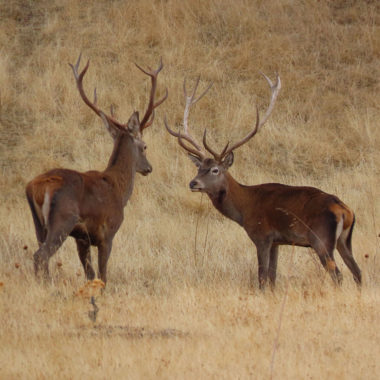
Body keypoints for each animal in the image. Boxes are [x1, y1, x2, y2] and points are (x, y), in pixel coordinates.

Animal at [26, 55, 168, 284]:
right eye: (145, 146)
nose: (149, 168)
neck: (119, 189)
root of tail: (36, 187)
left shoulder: (82, 238)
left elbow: (90, 274)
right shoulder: (107, 233)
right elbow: (103, 274)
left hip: (39, 225)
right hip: (63, 219)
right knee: (41, 255)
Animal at [165, 74, 360, 288]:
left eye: (215, 170)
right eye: (198, 168)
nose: (193, 183)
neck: (244, 209)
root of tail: (344, 210)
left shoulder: (262, 236)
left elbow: (262, 277)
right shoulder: (277, 241)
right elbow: (273, 277)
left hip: (321, 239)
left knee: (338, 275)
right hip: (344, 240)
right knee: (357, 271)